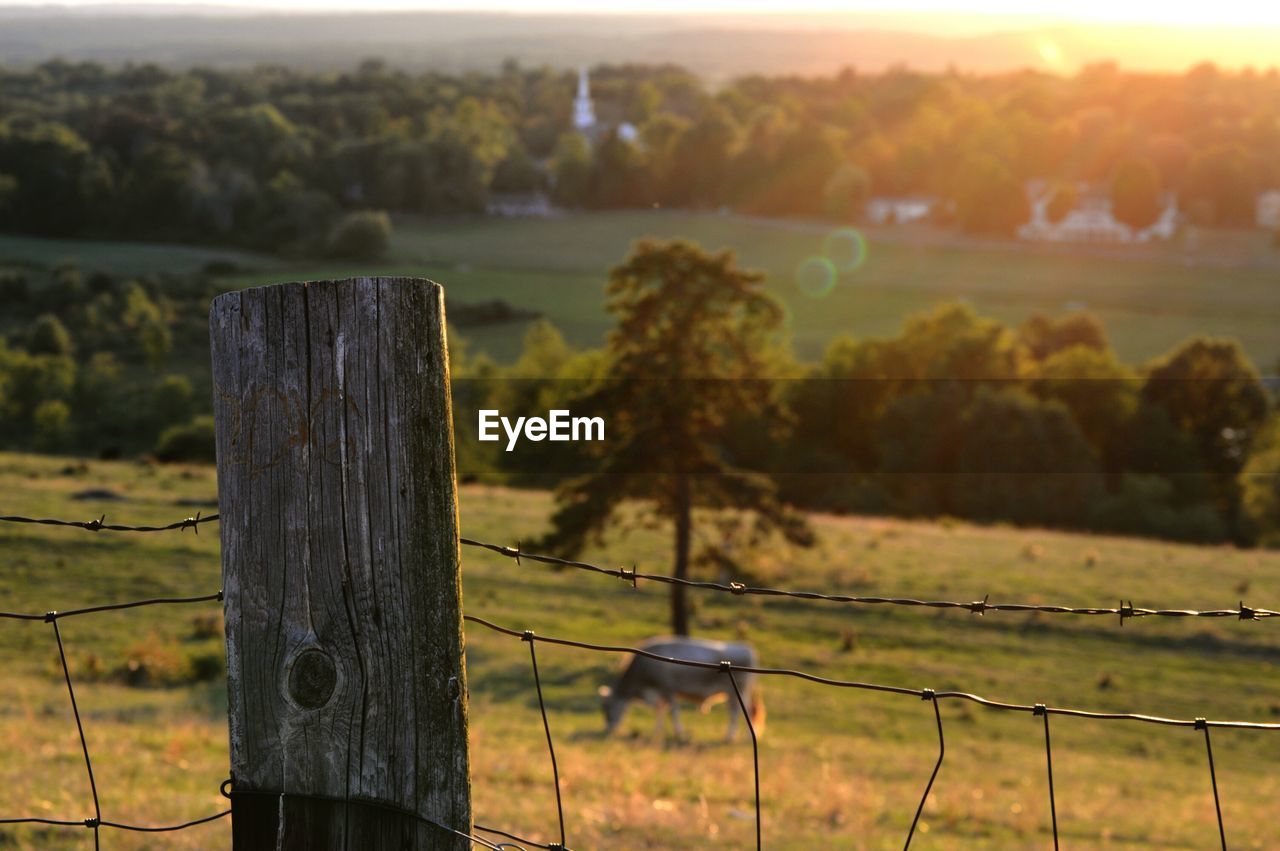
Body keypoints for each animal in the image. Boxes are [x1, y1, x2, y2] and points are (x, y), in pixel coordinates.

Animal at [596, 634, 762, 742]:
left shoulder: (668, 689)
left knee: (736, 712)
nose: (607, 729)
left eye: (607, 708)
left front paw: (679, 733)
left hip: (736, 692)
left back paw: (731, 737)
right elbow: (660, 712)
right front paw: (657, 732)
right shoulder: (660, 693)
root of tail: (746, 647)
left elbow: (673, 712)